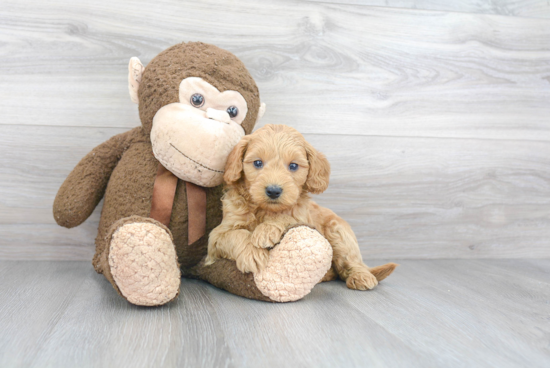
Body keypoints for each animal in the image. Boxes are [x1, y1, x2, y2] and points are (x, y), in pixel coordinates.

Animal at [206, 125, 396, 292]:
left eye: (293, 166)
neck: (265, 210)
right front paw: (253, 253)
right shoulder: (217, 237)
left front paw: (266, 229)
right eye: (258, 163)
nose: (273, 191)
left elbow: (287, 217)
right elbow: (236, 234)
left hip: (339, 233)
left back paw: (361, 276)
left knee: (351, 262)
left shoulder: (302, 217)